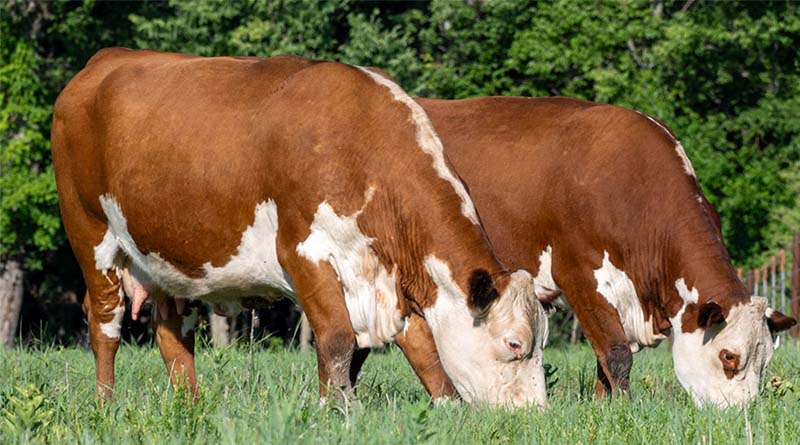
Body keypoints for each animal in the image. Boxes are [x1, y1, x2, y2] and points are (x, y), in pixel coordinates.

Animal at [50, 49, 549, 407]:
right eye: (514, 343)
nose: (531, 416)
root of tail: (104, 60)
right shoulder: (304, 253)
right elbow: (337, 341)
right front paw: (339, 411)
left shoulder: (391, 277)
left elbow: (424, 351)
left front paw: (445, 410)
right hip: (90, 234)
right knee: (104, 325)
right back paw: (106, 405)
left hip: (169, 257)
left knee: (173, 332)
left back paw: (189, 405)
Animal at [361, 96, 795, 407]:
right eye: (729, 357)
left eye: (765, 362)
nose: (741, 414)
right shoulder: (579, 275)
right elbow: (616, 351)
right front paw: (624, 408)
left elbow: (605, 357)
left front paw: (604, 406)